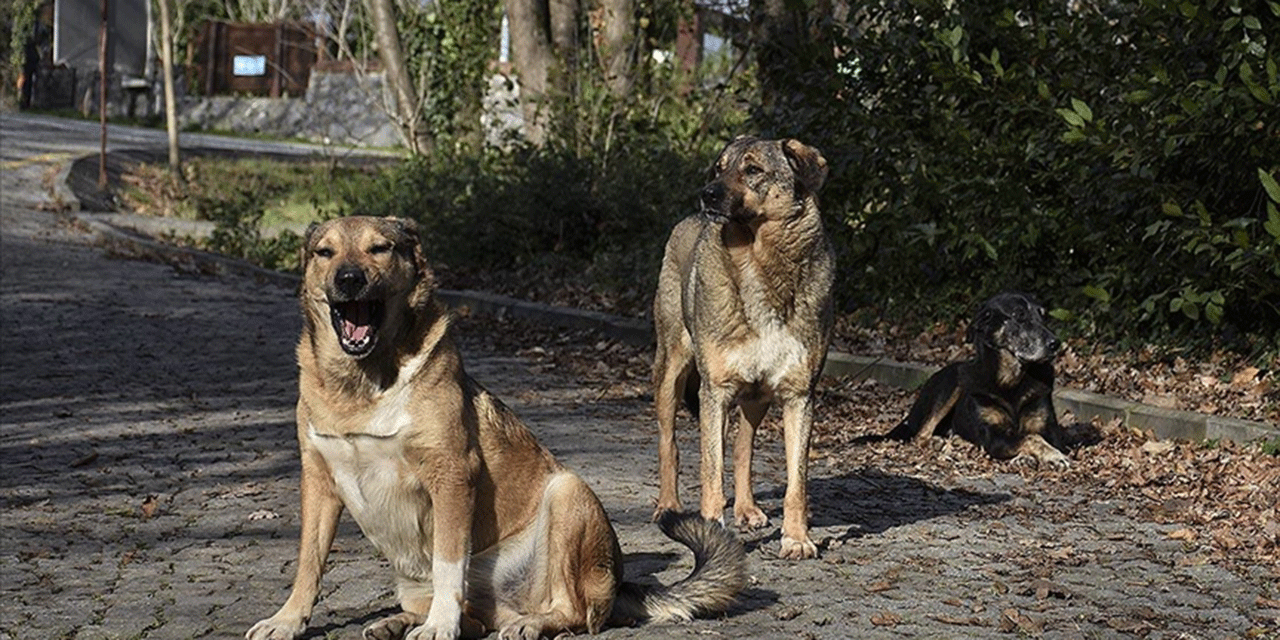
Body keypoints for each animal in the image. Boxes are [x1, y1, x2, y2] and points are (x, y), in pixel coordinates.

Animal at [245, 216, 747, 640]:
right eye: (324, 252)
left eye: (379, 248)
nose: (348, 279)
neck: (363, 384)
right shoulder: (318, 480)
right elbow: (308, 562)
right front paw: (287, 620)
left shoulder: (451, 474)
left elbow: (449, 563)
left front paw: (438, 627)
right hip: (412, 579)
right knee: (474, 620)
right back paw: (398, 622)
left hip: (568, 494)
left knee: (573, 613)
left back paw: (525, 624)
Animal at [650, 137, 839, 558]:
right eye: (719, 168)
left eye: (752, 170)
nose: (706, 194)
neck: (759, 262)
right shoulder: (715, 392)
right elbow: (710, 472)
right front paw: (710, 533)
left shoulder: (799, 396)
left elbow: (796, 484)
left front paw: (797, 538)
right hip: (671, 373)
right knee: (670, 444)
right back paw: (668, 506)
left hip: (756, 397)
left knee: (742, 447)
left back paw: (748, 509)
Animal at [880, 293, 1070, 468]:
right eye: (1019, 316)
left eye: (1043, 316)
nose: (1056, 344)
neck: (1011, 380)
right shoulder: (993, 436)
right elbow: (1031, 437)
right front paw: (1052, 455)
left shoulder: (1049, 430)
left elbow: (1033, 436)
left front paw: (1031, 456)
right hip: (953, 382)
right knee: (921, 435)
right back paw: (937, 442)